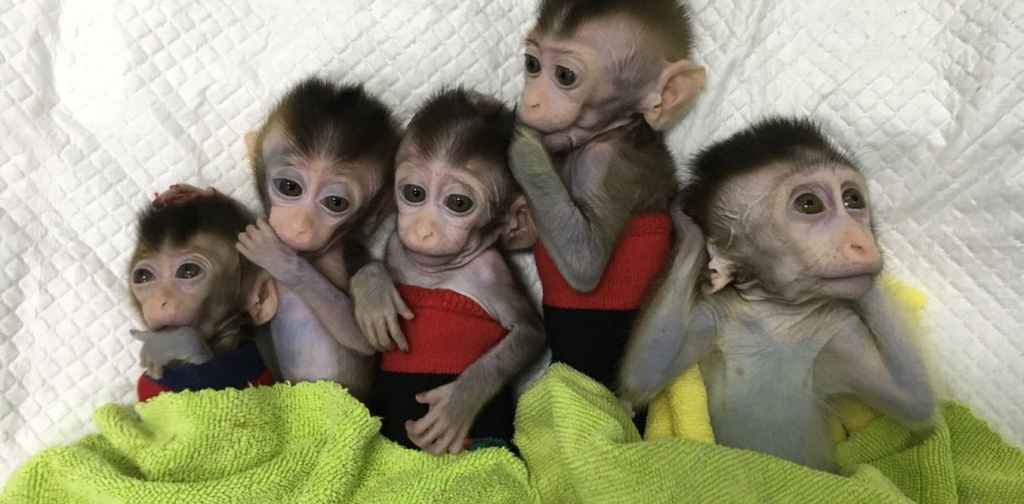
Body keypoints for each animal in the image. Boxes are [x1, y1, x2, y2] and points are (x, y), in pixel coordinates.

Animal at [350, 88, 544, 455]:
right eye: (414, 193)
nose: (423, 230)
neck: (437, 273)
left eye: (458, 203)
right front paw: (375, 293)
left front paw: (459, 402)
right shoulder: (397, 244)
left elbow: (529, 332)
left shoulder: (493, 274)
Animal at [506, 0, 708, 389]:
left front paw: (524, 144)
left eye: (565, 76)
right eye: (532, 65)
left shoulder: (604, 165)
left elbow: (586, 262)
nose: (530, 101)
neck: (614, 130)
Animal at [617, 117, 936, 472]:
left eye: (853, 199)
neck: (778, 314)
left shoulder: (840, 329)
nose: (862, 241)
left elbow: (913, 398)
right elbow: (643, 375)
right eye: (809, 204)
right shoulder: (713, 314)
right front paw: (686, 224)